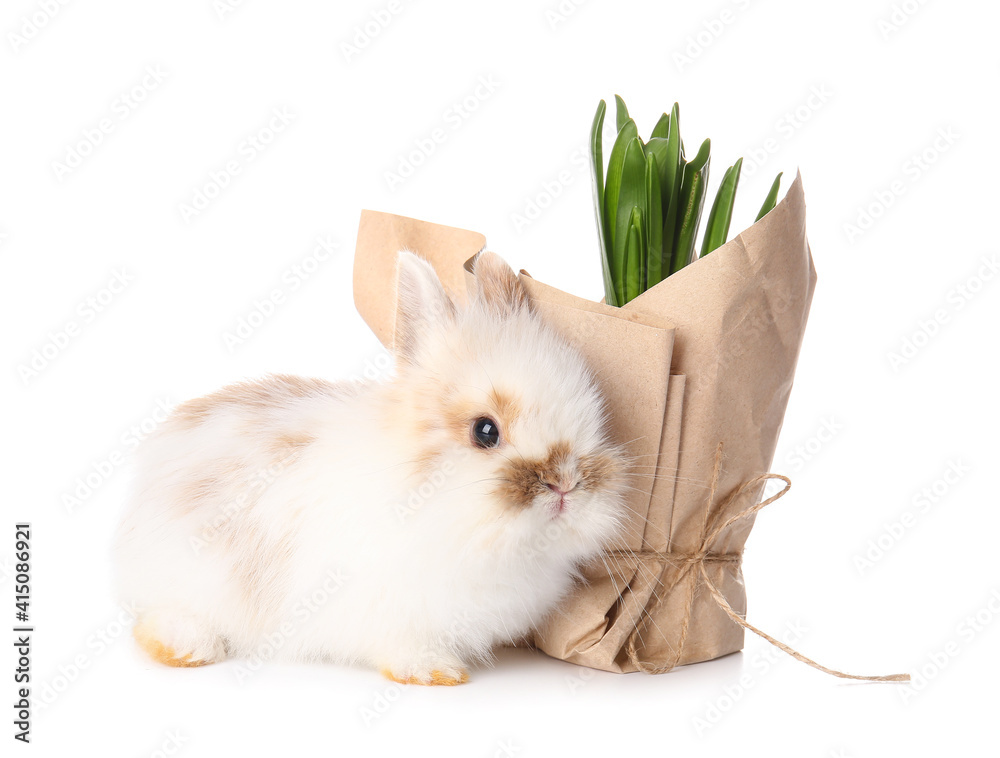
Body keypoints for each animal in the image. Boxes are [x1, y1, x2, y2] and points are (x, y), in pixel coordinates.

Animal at [112, 249, 629, 685]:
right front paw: (436, 673)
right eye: (485, 431)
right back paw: (187, 649)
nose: (565, 483)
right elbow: (403, 646)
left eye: (593, 419)